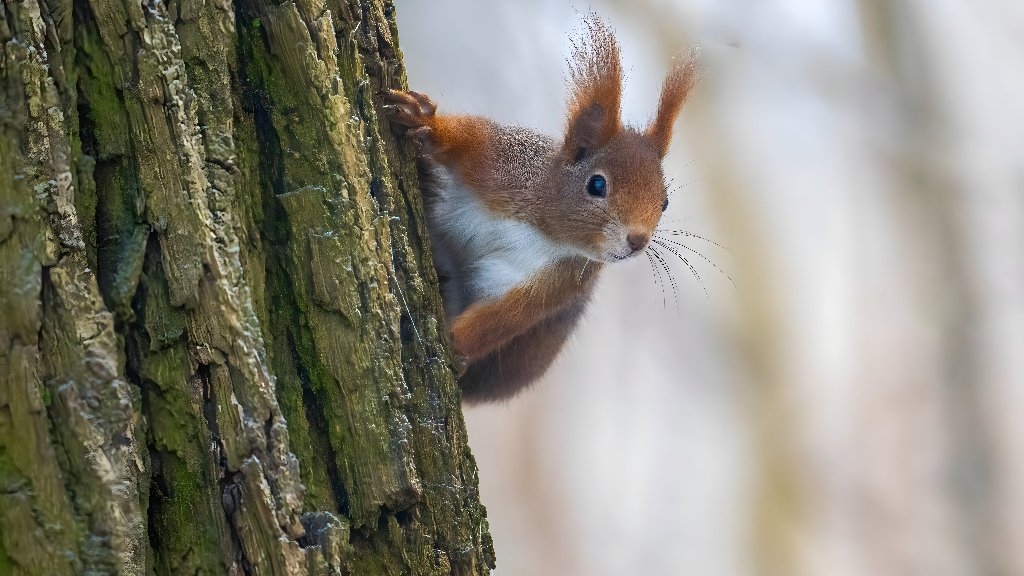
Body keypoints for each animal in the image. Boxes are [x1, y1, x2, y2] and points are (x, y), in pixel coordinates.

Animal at [383, 16, 701, 403]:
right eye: (597, 185)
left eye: (665, 202)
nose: (638, 241)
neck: (543, 228)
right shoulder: (501, 161)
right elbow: (465, 138)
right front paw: (426, 122)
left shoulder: (560, 280)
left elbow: (504, 318)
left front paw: (453, 346)